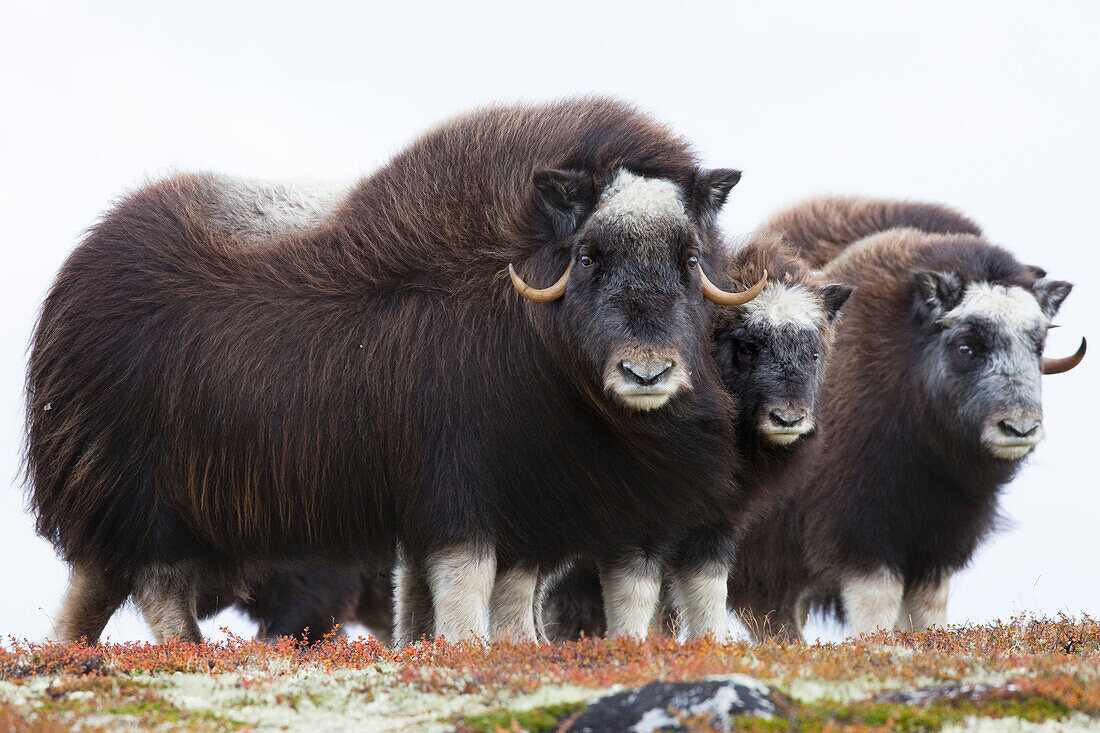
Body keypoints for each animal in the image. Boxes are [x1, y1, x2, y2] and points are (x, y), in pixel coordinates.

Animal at [27, 95, 765, 638]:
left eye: (689, 258)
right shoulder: (458, 484)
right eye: (589, 256)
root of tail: (76, 275)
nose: (648, 373)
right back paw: (187, 654)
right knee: (156, 585)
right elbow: (466, 584)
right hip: (149, 499)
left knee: (92, 589)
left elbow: (501, 599)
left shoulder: (532, 503)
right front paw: (467, 651)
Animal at [534, 231, 849, 638]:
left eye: (813, 353)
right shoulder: (639, 523)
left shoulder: (714, 524)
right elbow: (636, 598)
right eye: (746, 347)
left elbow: (707, 593)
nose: (788, 418)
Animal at [730, 197, 1082, 638]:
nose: (1019, 428)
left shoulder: (937, 548)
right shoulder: (862, 536)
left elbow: (926, 615)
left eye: (1039, 345)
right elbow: (876, 610)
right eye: (965, 347)